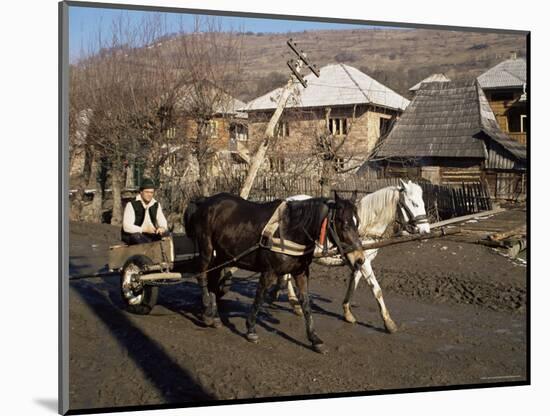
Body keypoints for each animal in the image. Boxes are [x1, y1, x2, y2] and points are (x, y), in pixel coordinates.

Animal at [185, 193, 366, 352]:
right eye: (343, 223)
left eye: (357, 223)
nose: (360, 259)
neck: (290, 229)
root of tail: (205, 201)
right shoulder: (269, 272)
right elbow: (259, 298)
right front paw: (251, 329)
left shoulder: (301, 273)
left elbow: (306, 304)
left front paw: (314, 339)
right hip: (207, 250)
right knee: (203, 276)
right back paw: (207, 310)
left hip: (222, 256)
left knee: (213, 280)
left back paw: (214, 316)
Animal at [284, 180, 432, 334]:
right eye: (414, 203)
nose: (426, 231)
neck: (364, 228)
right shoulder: (365, 263)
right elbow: (377, 290)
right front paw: (388, 322)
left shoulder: (359, 262)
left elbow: (353, 284)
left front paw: (347, 312)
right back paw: (295, 305)